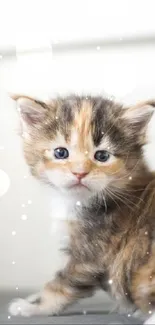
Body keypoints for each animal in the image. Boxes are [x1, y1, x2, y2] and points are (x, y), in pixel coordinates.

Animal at [8, 93, 155, 322]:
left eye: (102, 156)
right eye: (61, 152)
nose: (80, 173)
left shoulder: (91, 255)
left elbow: (61, 286)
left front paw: (33, 307)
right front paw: (32, 298)